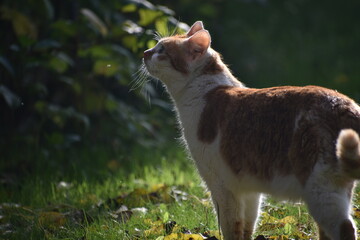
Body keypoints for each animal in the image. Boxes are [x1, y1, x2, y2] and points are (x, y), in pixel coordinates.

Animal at [142, 21, 360, 240]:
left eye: (161, 50)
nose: (145, 52)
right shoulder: (250, 191)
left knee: (346, 228)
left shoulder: (222, 187)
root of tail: (345, 104)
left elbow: (231, 228)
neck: (205, 91)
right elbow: (247, 226)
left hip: (320, 189)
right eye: (156, 46)